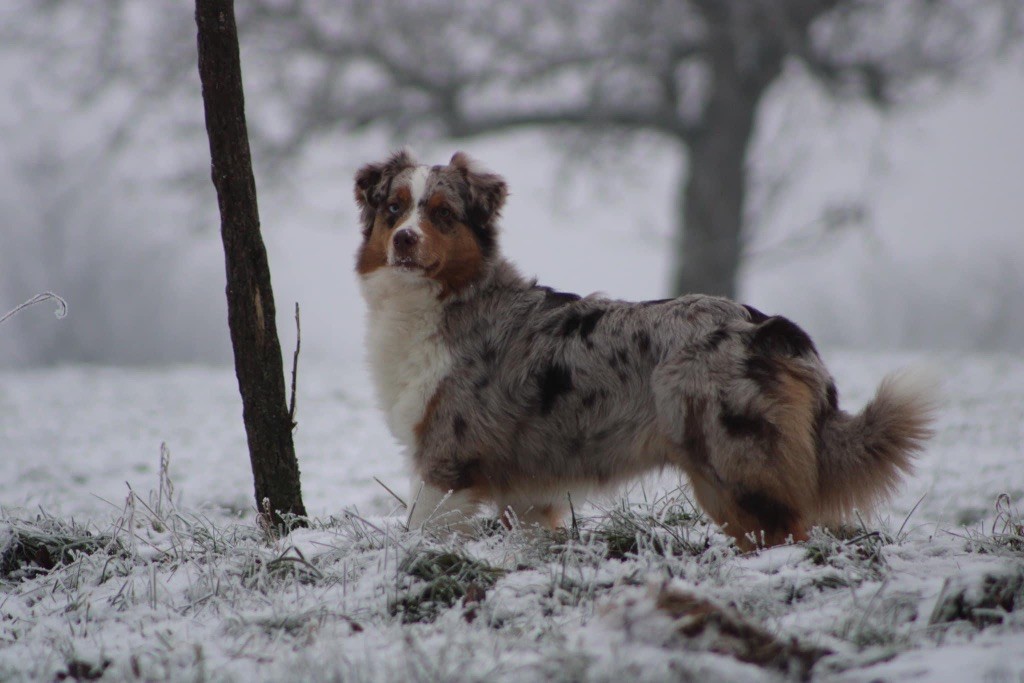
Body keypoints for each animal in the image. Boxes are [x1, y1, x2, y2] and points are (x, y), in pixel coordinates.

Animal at [354, 148, 937, 548]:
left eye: (442, 214)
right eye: (394, 208)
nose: (404, 240)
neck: (447, 300)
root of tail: (766, 326)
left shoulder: (445, 462)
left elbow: (419, 528)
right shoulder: (529, 488)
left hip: (734, 466)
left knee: (786, 531)